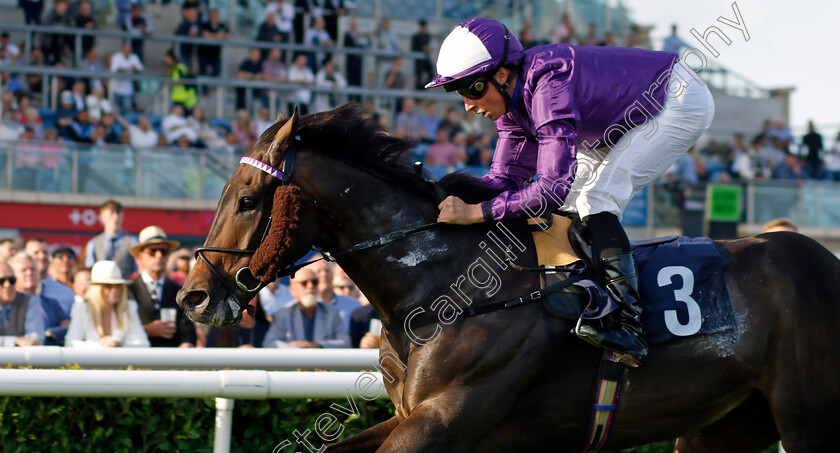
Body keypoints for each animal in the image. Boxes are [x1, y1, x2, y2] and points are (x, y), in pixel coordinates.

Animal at [177, 104, 840, 450]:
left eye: (248, 199)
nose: (193, 296)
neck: (442, 286)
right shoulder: (416, 418)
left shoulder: (450, 415)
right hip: (730, 421)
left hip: (806, 416)